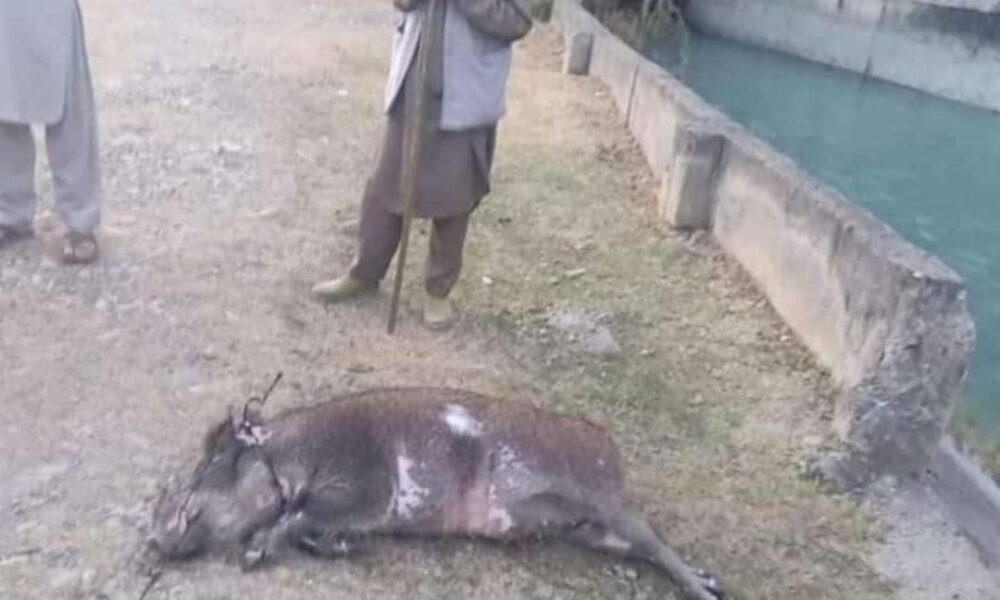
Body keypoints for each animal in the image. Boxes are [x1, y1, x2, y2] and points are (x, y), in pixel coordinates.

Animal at [151, 387, 723, 600]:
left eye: (214, 463)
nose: (156, 537)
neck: (297, 455)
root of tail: (608, 445)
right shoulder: (360, 513)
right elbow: (312, 530)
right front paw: (331, 547)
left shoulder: (363, 490)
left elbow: (295, 520)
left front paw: (253, 554)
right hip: (589, 529)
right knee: (639, 547)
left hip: (605, 499)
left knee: (655, 540)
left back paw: (706, 589)